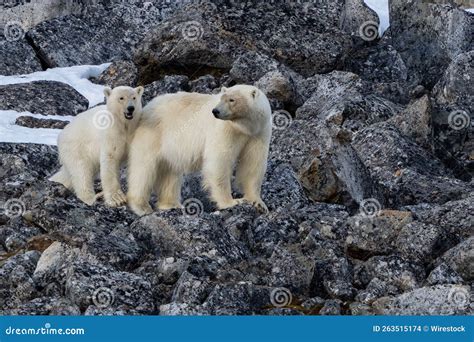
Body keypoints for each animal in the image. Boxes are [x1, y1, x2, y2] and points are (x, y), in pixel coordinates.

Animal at [128, 84, 272, 215]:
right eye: (221, 98)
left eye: (232, 99)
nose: (215, 111)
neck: (245, 127)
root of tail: (146, 108)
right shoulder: (225, 129)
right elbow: (220, 160)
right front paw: (231, 202)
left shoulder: (259, 133)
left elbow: (253, 164)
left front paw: (258, 203)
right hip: (153, 134)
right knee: (144, 169)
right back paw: (141, 206)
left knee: (170, 171)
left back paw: (171, 204)